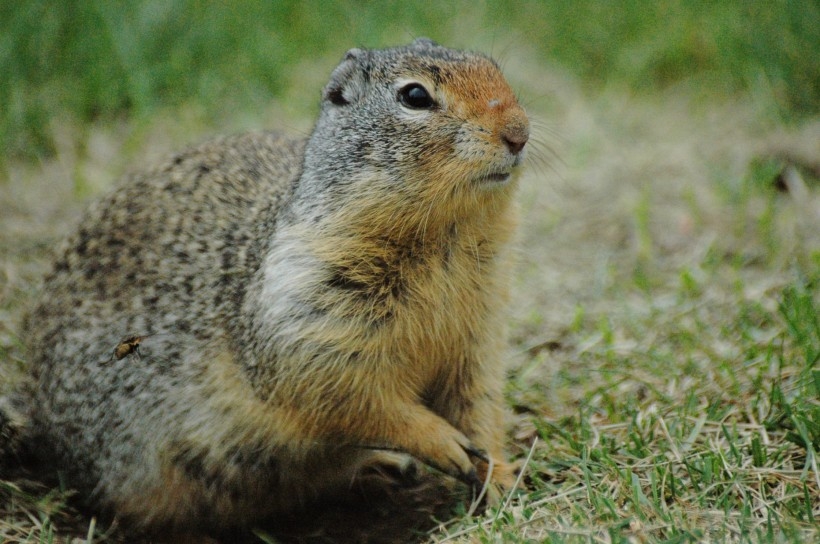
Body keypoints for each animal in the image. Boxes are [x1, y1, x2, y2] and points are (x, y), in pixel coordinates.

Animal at [8, 39, 532, 540]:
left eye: (493, 68)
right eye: (415, 96)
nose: (519, 132)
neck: (446, 240)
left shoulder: (479, 331)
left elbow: (478, 401)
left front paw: (501, 476)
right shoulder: (307, 314)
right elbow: (350, 396)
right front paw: (447, 445)